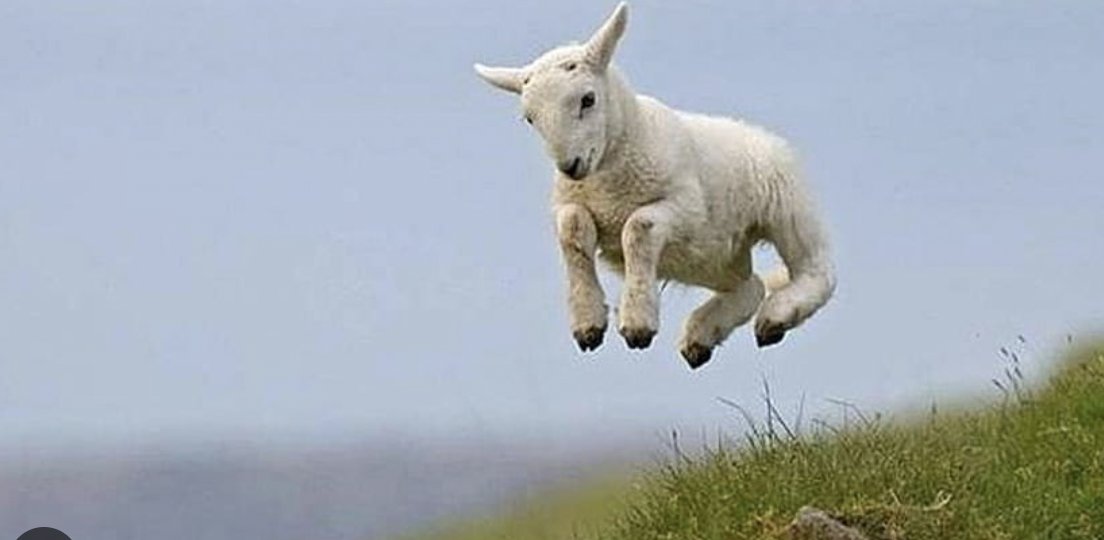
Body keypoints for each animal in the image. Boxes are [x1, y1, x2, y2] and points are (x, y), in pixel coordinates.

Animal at [474, 2, 836, 369]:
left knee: (817, 271)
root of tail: (755, 132)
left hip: (784, 205)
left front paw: (637, 326)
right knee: (750, 285)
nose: (569, 166)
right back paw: (702, 337)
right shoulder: (570, 203)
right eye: (529, 118)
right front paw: (588, 325)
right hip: (709, 257)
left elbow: (638, 229)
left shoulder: (687, 209)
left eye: (588, 99)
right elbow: (573, 229)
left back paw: (775, 317)